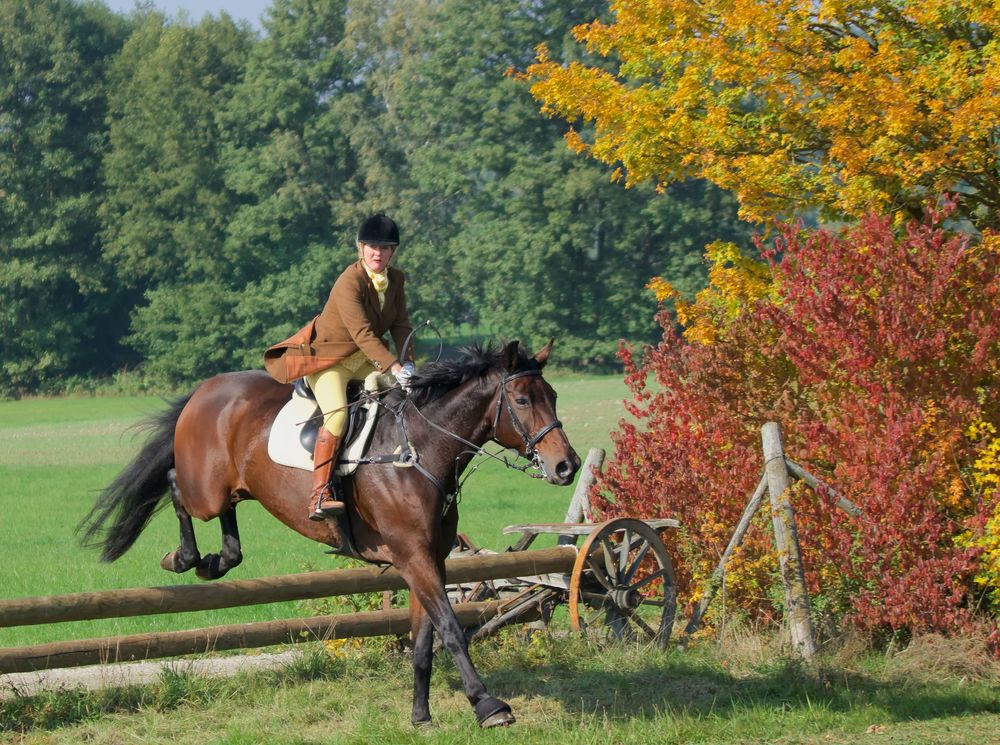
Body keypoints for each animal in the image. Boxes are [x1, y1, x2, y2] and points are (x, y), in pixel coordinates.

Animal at [80, 340, 580, 728]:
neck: (420, 450)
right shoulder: (413, 555)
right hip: (205, 488)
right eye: (521, 400)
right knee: (177, 487)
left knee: (228, 518)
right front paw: (488, 706)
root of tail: (206, 389)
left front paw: (420, 715)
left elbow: (424, 637)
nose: (567, 466)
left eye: (554, 396)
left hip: (234, 487)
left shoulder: (427, 559)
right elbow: (452, 630)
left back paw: (217, 559)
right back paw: (184, 558)